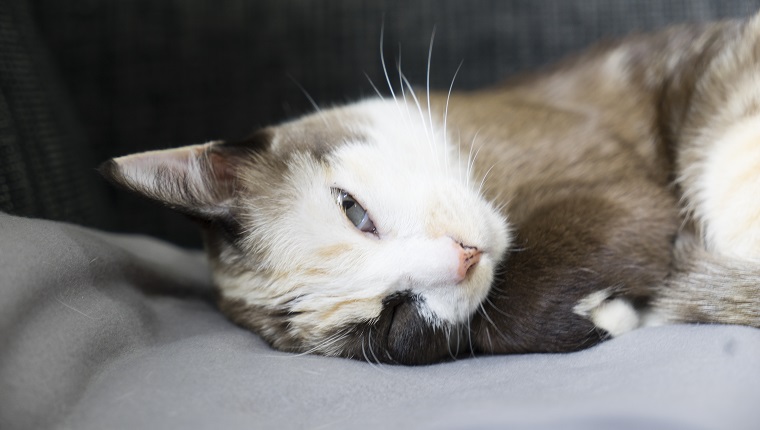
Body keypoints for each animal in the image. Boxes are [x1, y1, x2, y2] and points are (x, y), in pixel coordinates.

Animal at [101, 13, 760, 362]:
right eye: (390, 319)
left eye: (353, 211)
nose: (464, 257)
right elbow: (495, 323)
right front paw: (613, 317)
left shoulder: (610, 183)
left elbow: (523, 298)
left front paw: (616, 313)